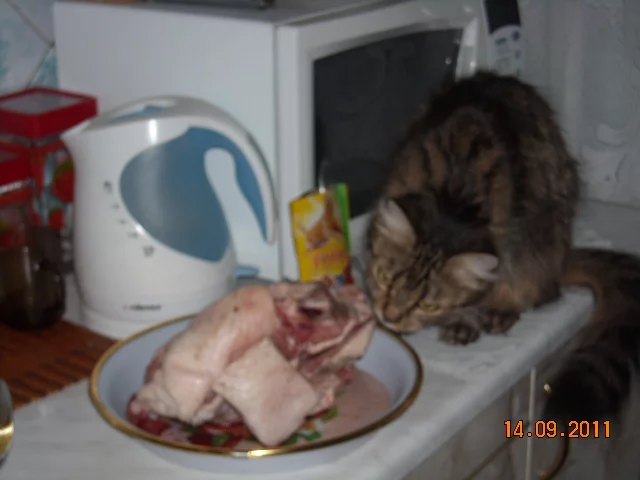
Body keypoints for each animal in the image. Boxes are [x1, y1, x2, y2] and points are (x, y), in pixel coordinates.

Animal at [365, 70, 640, 424]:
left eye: (429, 305)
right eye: (385, 278)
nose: (389, 316)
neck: (452, 198)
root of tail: (563, 260)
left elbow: (481, 297)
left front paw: (466, 321)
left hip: (541, 240)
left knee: (530, 291)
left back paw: (500, 313)